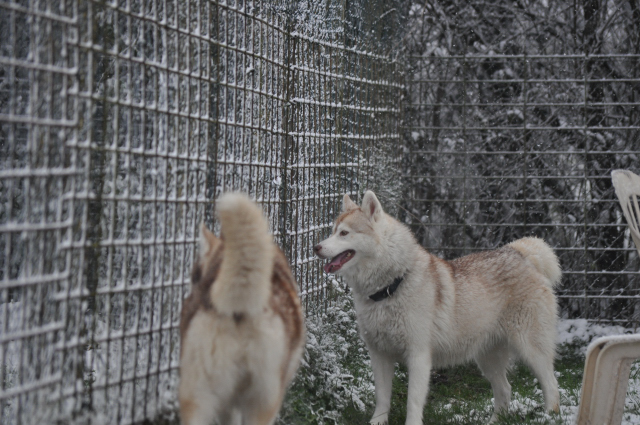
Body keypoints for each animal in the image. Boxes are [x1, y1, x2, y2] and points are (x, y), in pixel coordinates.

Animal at [316, 191, 560, 424]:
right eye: (333, 231)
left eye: (344, 233)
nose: (316, 247)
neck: (391, 286)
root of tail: (520, 253)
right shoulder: (379, 356)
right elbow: (382, 399)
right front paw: (376, 422)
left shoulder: (419, 357)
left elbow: (413, 402)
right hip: (488, 359)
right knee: (505, 390)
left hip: (531, 350)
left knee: (552, 385)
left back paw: (549, 417)